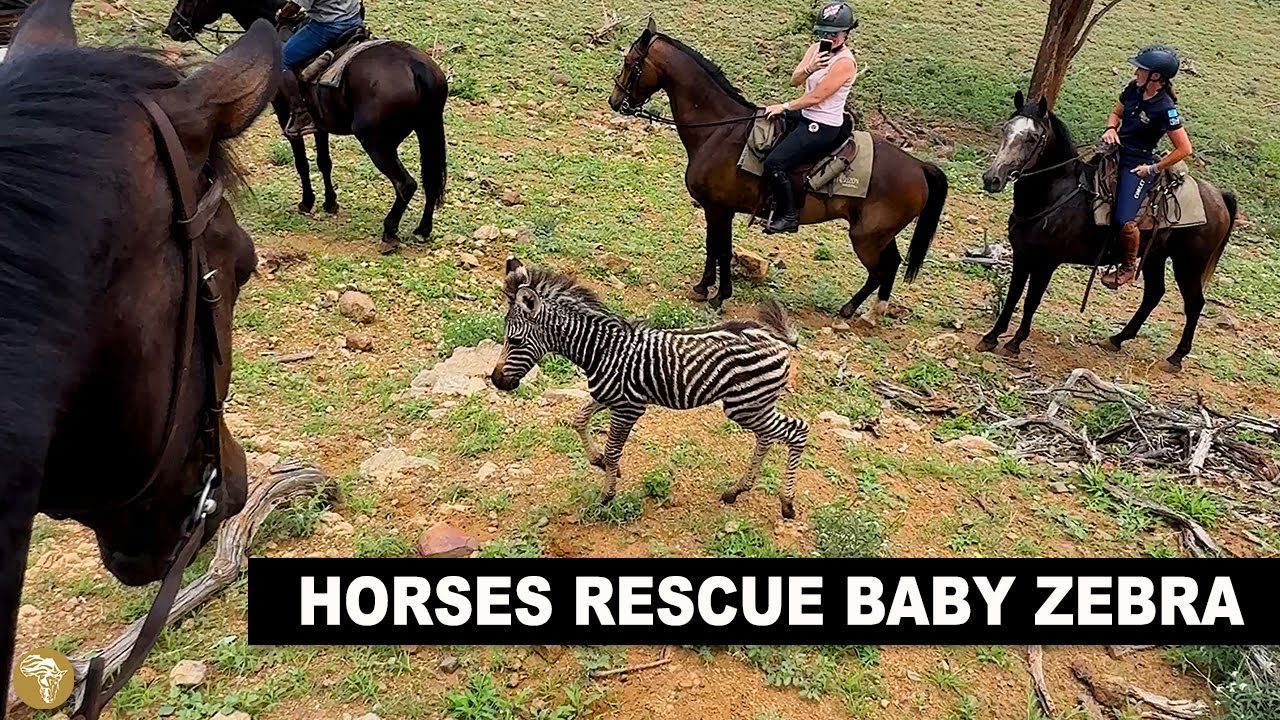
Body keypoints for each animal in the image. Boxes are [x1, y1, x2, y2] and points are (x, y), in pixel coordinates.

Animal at [165, 0, 448, 255]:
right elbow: (324, 162)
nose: (173, 28)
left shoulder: (286, 117)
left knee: (406, 184)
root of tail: (415, 66)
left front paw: (307, 201)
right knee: (430, 180)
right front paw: (330, 202)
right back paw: (423, 230)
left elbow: (301, 162)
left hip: (377, 143)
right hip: (426, 131)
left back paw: (390, 232)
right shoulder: (320, 124)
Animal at [490, 255, 809, 519]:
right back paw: (737, 490)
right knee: (766, 438)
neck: (601, 351)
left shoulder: (628, 408)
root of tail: (776, 337)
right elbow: (579, 419)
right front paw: (599, 462)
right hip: (755, 404)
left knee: (797, 431)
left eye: (514, 341)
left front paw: (606, 495)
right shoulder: (608, 396)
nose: (496, 381)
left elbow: (614, 450)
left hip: (746, 404)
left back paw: (787, 503)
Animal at [608, 20, 949, 318]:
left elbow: (722, 249)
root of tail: (919, 166)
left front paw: (719, 296)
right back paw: (862, 310)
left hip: (867, 236)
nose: (615, 101)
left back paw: (861, 311)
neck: (720, 131)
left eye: (630, 62)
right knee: (890, 265)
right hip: (878, 234)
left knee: (883, 268)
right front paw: (703, 288)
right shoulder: (713, 209)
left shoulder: (720, 209)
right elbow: (712, 246)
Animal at [979, 91, 1237, 371]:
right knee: (1154, 294)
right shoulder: (1022, 255)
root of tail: (1218, 196)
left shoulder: (1046, 263)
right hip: (1155, 257)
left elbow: (1030, 301)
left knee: (1194, 303)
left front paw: (1015, 342)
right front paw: (991, 337)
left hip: (1188, 264)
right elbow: (1013, 295)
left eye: (1032, 138)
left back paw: (1176, 356)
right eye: (1006, 130)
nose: (992, 179)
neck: (1054, 195)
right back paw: (1118, 338)